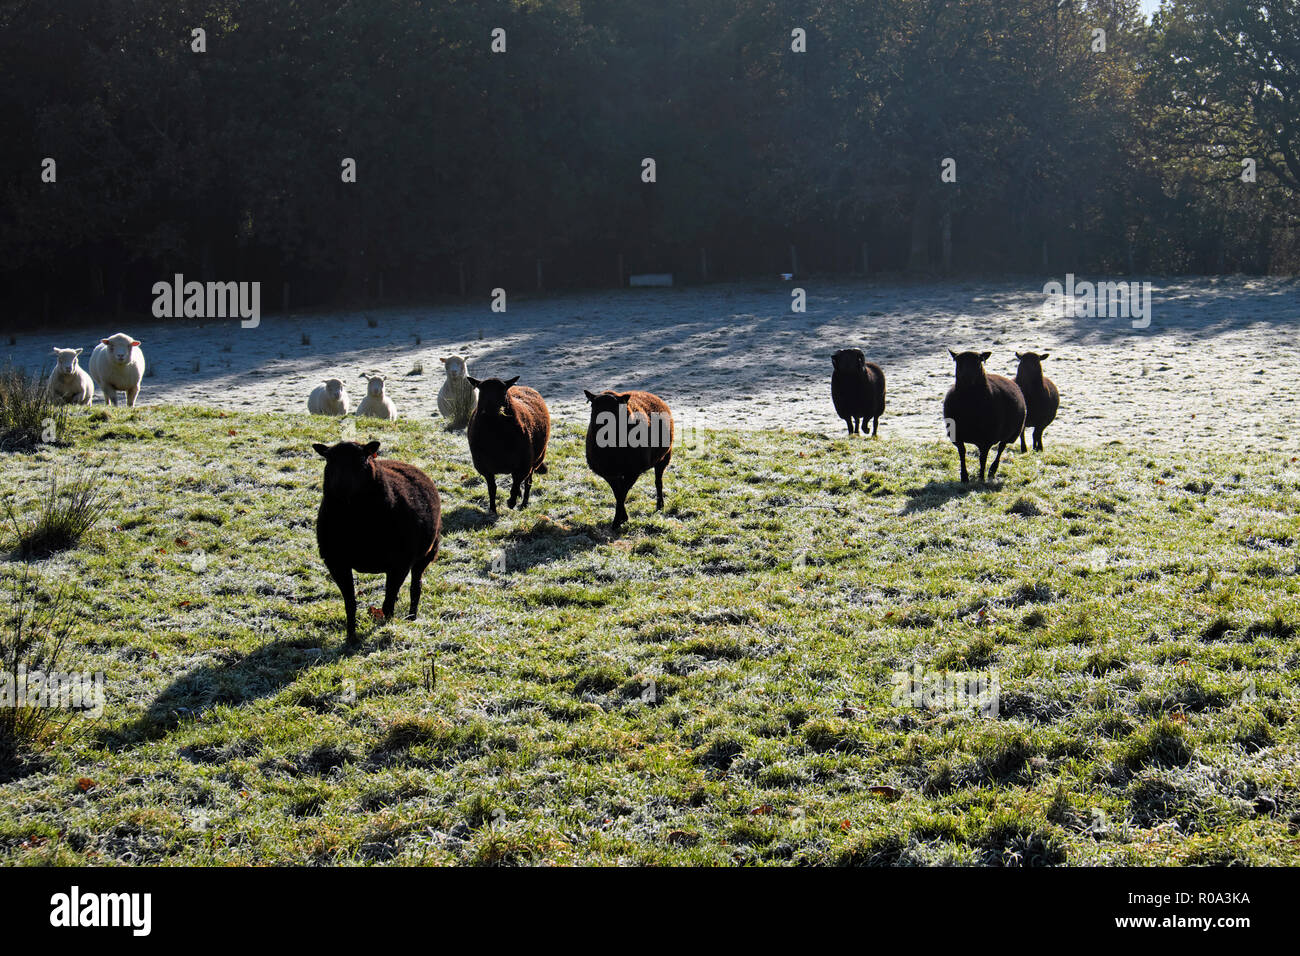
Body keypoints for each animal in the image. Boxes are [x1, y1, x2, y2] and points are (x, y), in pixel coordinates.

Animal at [310, 442, 441, 642]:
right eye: (329, 460)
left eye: (361, 460)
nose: (341, 488)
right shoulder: (336, 562)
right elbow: (350, 604)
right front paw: (351, 638)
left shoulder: (400, 563)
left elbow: (388, 603)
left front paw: (385, 628)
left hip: (427, 553)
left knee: (415, 586)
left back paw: (412, 617)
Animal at [467, 374, 548, 515]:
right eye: (481, 390)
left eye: (503, 390)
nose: (491, 408)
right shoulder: (485, 468)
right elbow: (492, 489)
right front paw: (492, 509)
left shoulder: (523, 466)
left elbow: (515, 486)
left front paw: (511, 502)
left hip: (535, 460)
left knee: (528, 482)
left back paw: (524, 503)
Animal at [585, 392, 676, 535]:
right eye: (593, 406)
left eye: (616, 407)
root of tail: (651, 394)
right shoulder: (609, 473)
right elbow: (618, 494)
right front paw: (623, 518)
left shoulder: (633, 472)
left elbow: (622, 494)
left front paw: (618, 522)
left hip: (664, 457)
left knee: (658, 482)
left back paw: (660, 505)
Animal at [946, 351, 1024, 486]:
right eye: (958, 361)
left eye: (979, 361)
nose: (967, 377)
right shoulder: (957, 436)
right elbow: (962, 454)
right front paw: (964, 477)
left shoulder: (987, 439)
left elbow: (983, 459)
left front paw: (981, 477)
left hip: (1012, 434)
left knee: (1001, 448)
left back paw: (992, 471)